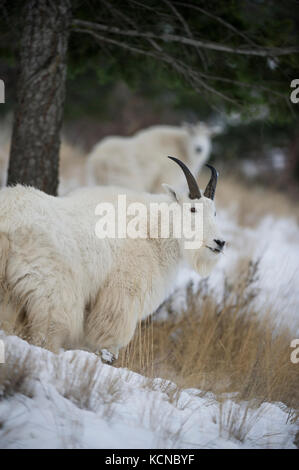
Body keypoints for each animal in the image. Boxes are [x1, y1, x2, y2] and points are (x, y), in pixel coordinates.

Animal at [0, 156, 225, 358]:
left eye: (215, 212)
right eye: (193, 209)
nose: (219, 242)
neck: (152, 231)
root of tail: (7, 220)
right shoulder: (123, 293)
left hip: (10, 291)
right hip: (51, 289)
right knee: (48, 329)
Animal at [87, 124, 223, 194]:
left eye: (208, 136)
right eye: (192, 133)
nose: (199, 148)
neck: (183, 148)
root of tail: (97, 158)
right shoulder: (165, 179)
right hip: (127, 181)